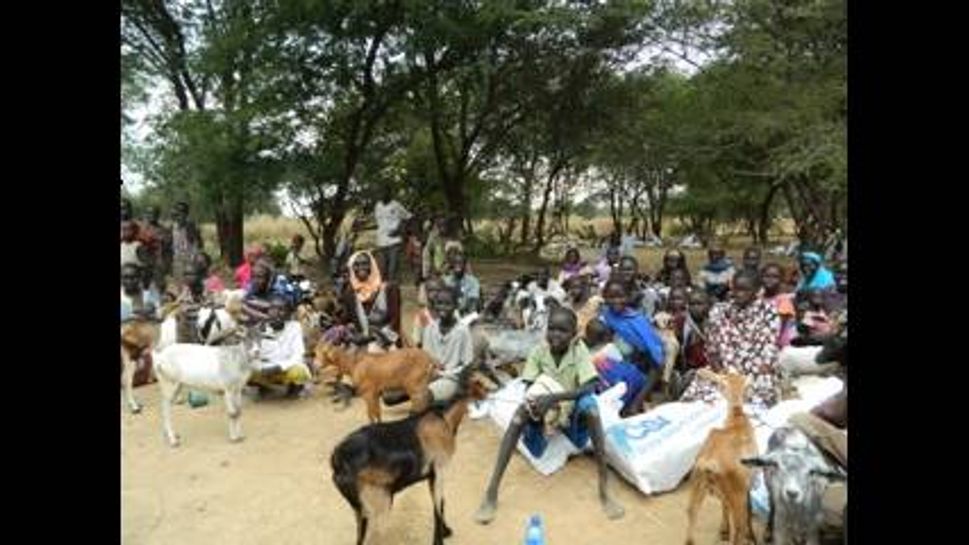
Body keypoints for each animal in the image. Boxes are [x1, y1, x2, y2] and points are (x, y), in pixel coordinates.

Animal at [684, 368, 760, 540]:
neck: (737, 419)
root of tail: (708, 463)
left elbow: (723, 504)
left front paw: (723, 530)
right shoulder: (748, 480)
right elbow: (749, 506)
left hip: (697, 485)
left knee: (691, 516)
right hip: (736, 494)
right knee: (738, 530)